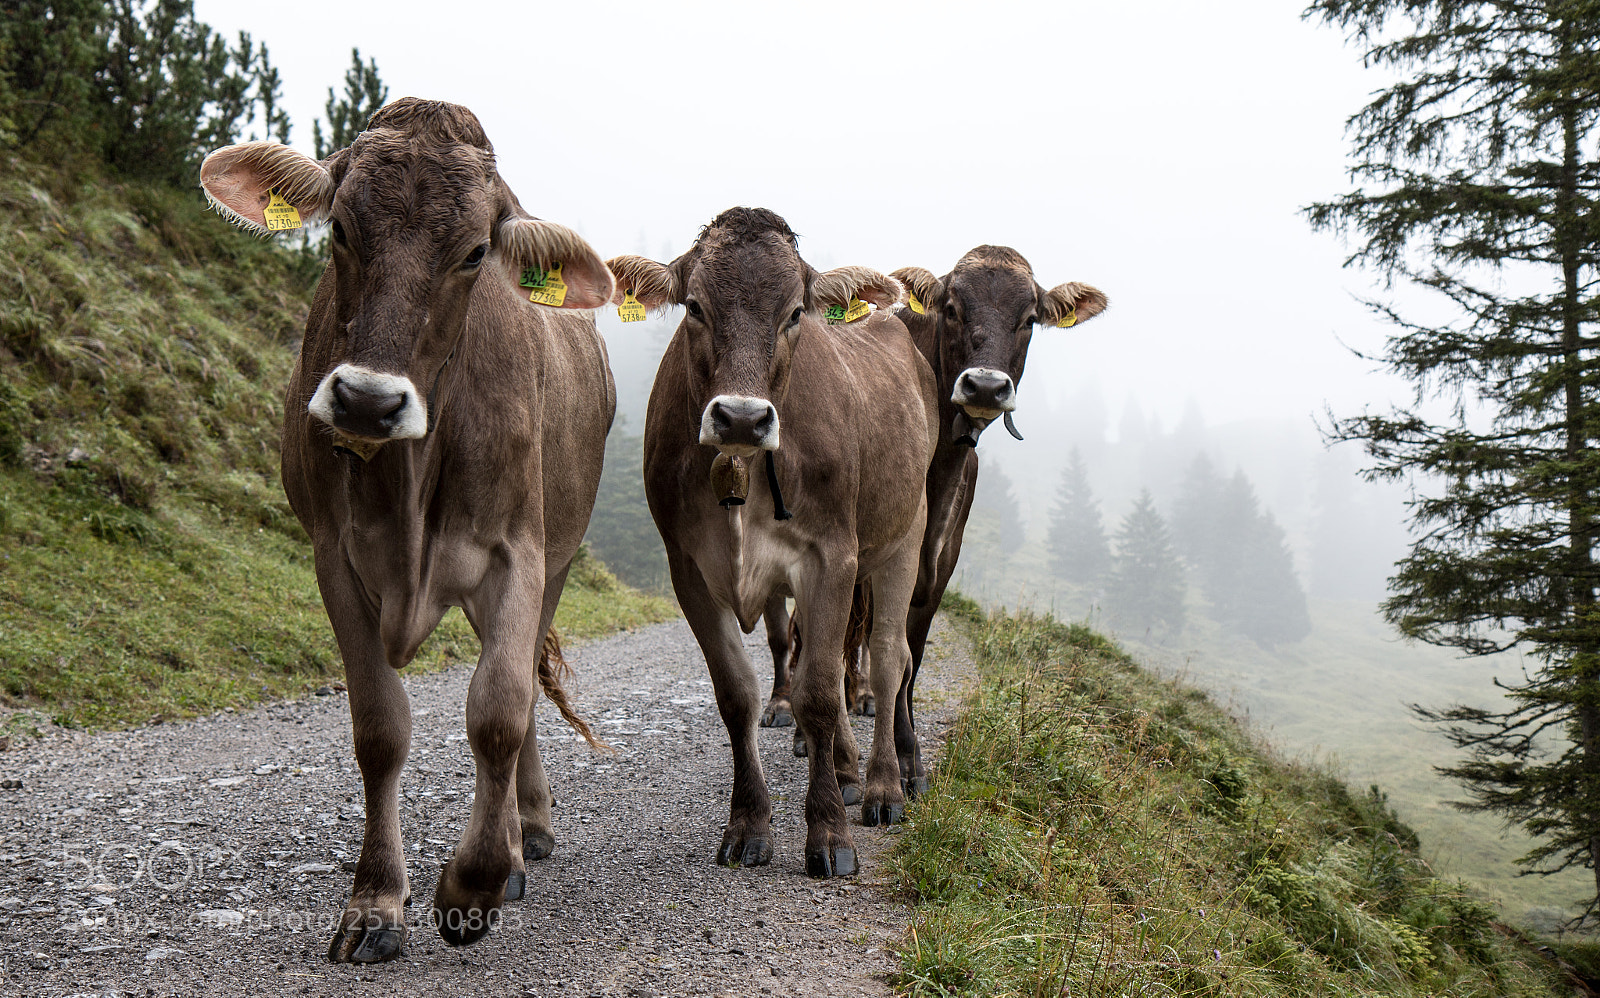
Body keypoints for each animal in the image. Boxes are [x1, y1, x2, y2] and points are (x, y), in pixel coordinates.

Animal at [199, 98, 617, 962]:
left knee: (523, 685)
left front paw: (473, 885)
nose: (366, 400)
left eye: (476, 253)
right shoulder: (334, 557)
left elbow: (499, 708)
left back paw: (523, 836)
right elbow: (381, 730)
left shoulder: (520, 553)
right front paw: (375, 903)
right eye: (340, 228)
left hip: (560, 557)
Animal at [608, 207, 938, 876]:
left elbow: (820, 693)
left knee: (887, 658)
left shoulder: (832, 556)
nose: (740, 416)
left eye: (794, 313)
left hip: (903, 535)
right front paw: (748, 823)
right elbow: (738, 693)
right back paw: (846, 769)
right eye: (695, 307)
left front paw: (829, 833)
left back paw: (883, 786)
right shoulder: (687, 567)